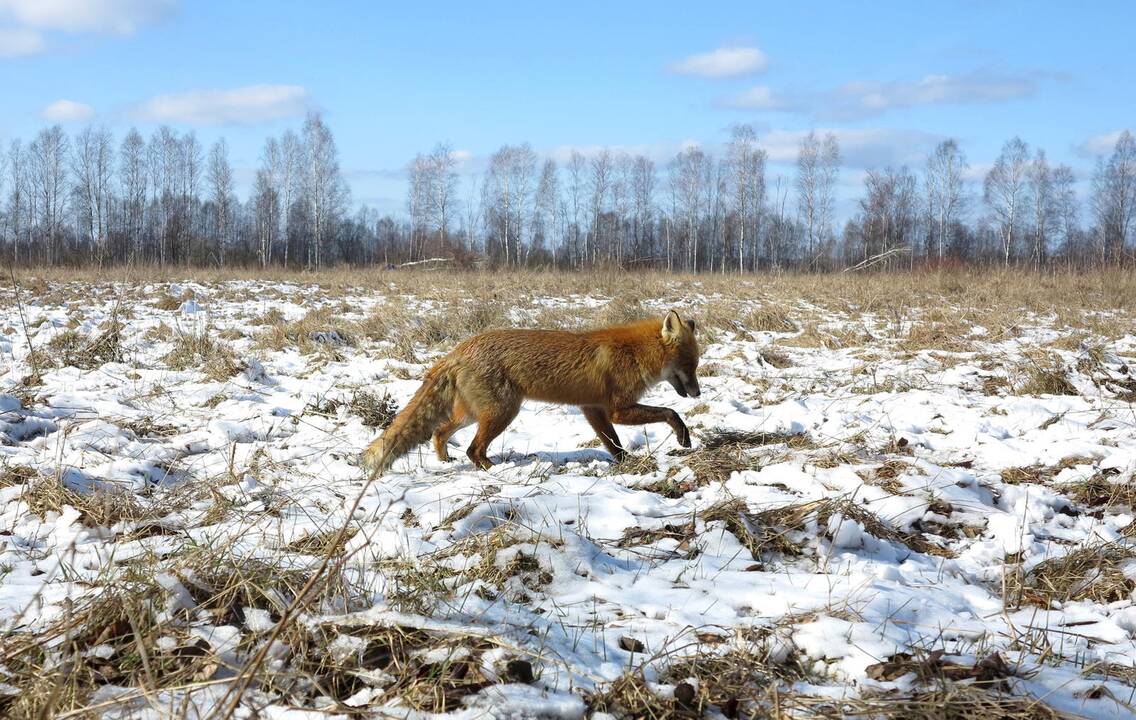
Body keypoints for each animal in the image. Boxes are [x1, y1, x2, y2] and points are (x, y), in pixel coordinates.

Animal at [363, 306, 699, 470]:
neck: (635, 353)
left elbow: (612, 443)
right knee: (473, 449)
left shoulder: (592, 409)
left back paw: (445, 460)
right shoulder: (618, 409)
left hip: (473, 414)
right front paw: (683, 437)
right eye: (690, 365)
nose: (698, 394)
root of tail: (459, 349)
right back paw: (494, 469)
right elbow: (670, 412)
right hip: (502, 412)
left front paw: (624, 462)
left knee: (440, 431)